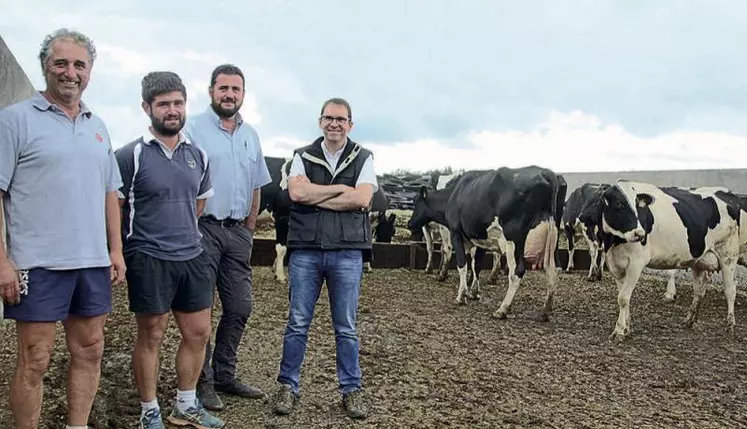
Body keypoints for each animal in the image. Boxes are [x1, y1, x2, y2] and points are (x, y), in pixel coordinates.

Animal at [410, 165, 568, 320]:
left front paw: (461, 295)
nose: (409, 223)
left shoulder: (456, 232)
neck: (454, 194)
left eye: (416, 202)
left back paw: (502, 310)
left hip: (513, 239)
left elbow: (462, 264)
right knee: (554, 269)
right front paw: (474, 292)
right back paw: (545, 311)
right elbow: (476, 265)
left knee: (517, 271)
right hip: (553, 238)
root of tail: (547, 173)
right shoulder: (481, 237)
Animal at [580, 179, 744, 340]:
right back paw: (689, 320)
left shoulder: (636, 263)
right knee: (699, 290)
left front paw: (619, 331)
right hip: (699, 260)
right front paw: (626, 327)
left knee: (730, 290)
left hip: (728, 255)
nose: (640, 233)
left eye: (637, 205)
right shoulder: (616, 265)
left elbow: (623, 298)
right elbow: (623, 296)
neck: (614, 242)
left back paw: (730, 325)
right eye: (619, 204)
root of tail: (730, 194)